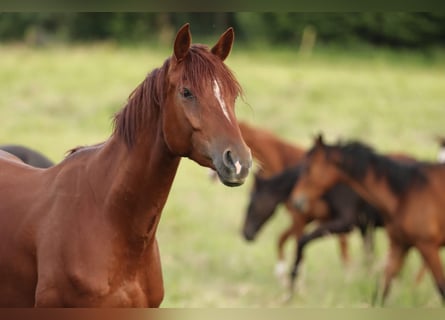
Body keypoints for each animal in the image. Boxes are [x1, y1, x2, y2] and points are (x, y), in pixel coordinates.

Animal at [238, 122, 352, 280]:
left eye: (252, 202)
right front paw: (282, 274)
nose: (245, 233)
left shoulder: (305, 219)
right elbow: (283, 239)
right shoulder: (306, 220)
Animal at [292, 135, 444, 304]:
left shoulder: (427, 246)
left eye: (307, 167)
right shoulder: (399, 245)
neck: (405, 194)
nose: (297, 200)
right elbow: (381, 290)